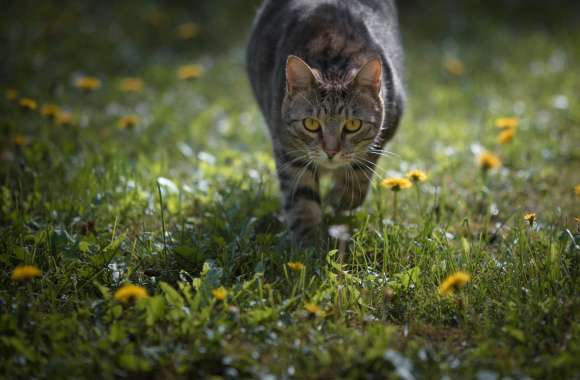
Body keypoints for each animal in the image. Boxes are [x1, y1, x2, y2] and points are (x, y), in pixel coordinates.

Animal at [245, 0, 404, 243]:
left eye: (353, 125)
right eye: (310, 124)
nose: (331, 151)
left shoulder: (384, 133)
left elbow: (357, 180)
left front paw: (338, 201)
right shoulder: (289, 151)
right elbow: (303, 201)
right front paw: (308, 245)